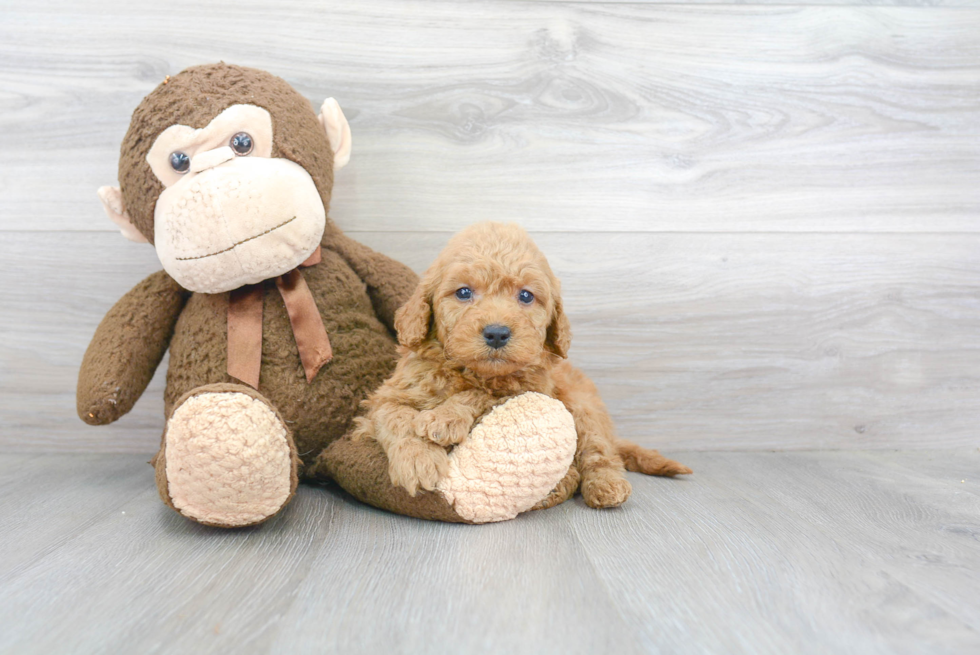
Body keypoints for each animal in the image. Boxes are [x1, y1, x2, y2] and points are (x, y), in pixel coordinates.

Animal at [352, 223, 688, 510]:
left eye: (526, 296)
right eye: (463, 292)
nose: (497, 333)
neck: (470, 372)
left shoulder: (528, 389)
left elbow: (484, 395)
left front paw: (444, 419)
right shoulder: (386, 398)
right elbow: (397, 418)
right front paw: (418, 460)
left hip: (584, 408)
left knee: (599, 453)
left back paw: (605, 486)